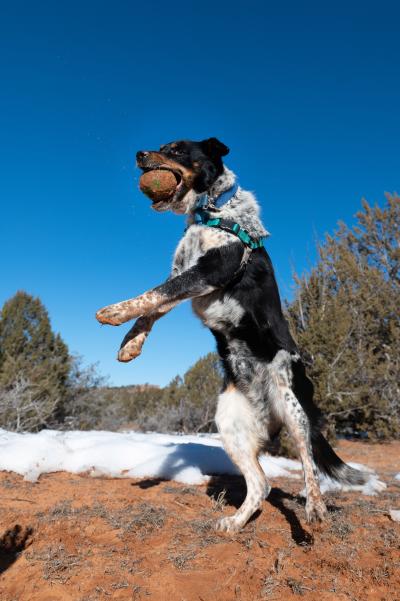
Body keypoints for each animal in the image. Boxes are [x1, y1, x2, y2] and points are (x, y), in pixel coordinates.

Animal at [96, 138, 382, 532]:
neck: (212, 211)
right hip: (229, 424)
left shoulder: (209, 271)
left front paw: (113, 311)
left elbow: (152, 294)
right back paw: (234, 522)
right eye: (161, 146)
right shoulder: (184, 274)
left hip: (293, 409)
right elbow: (153, 307)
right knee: (261, 484)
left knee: (309, 467)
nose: (139, 155)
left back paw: (314, 510)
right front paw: (130, 344)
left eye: (177, 150)